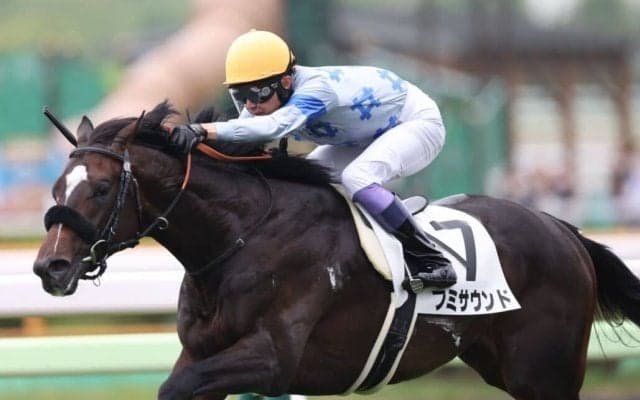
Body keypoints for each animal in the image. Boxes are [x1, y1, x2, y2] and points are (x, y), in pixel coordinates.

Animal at [33, 101, 640, 400]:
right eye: (57, 186)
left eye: (101, 188)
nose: (49, 267)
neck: (240, 238)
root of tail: (563, 229)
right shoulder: (203, 352)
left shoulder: (272, 359)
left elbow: (175, 387)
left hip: (546, 372)